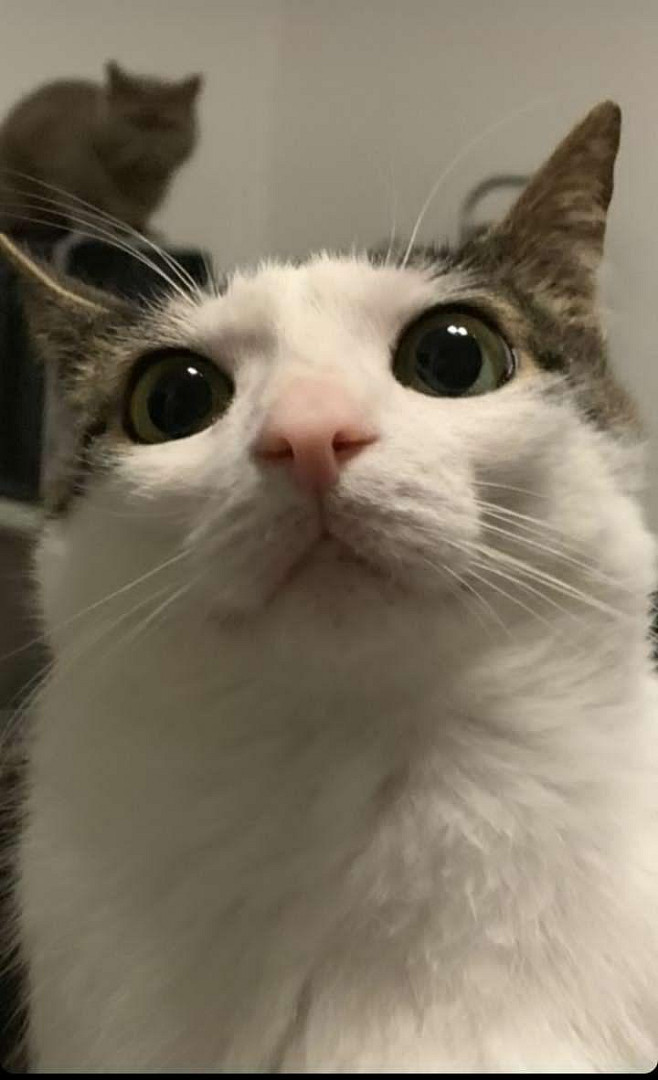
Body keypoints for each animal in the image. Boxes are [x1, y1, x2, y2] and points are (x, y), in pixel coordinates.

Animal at [0, 61, 202, 237]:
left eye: (168, 125)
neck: (134, 183)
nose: (149, 141)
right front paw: (92, 225)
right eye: (132, 121)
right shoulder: (55, 169)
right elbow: (72, 203)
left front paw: (147, 233)